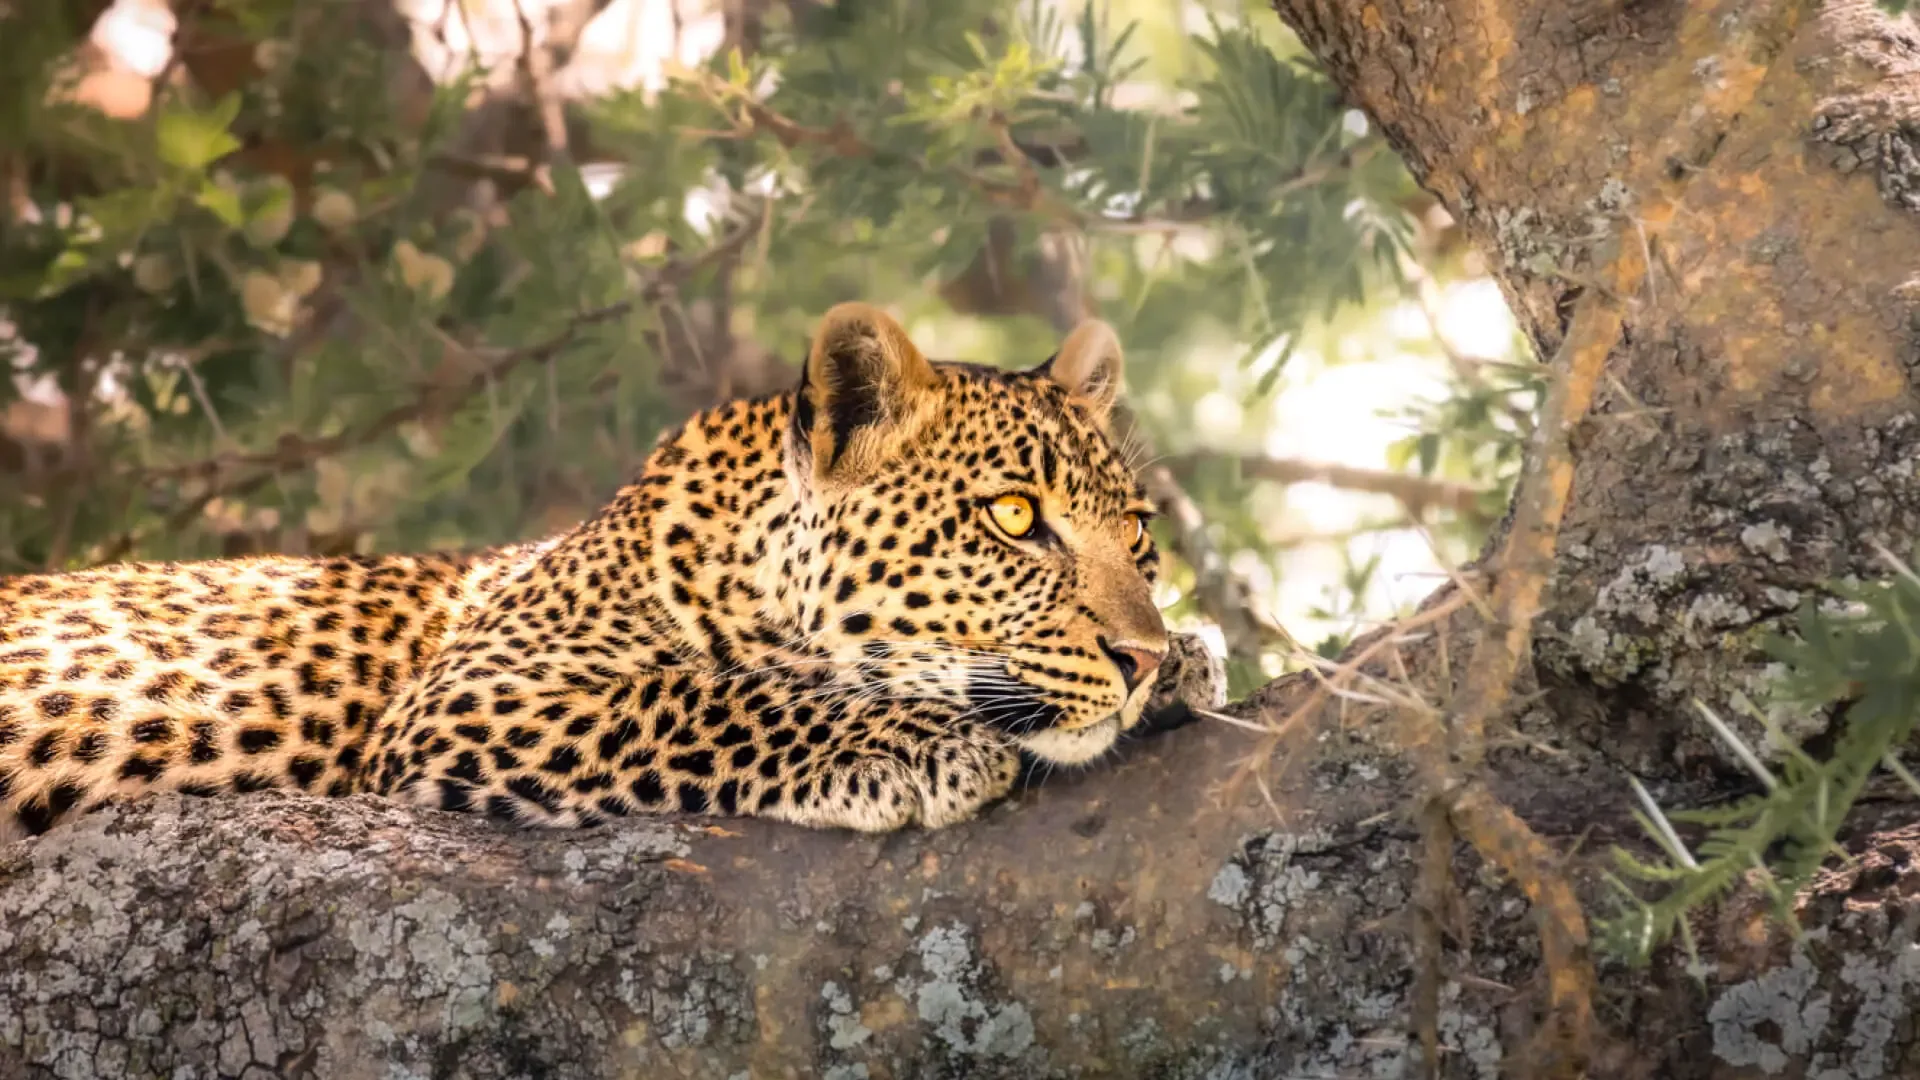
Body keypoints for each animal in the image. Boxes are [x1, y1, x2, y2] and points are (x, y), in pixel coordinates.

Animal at [0, 302, 1170, 840]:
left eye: (1138, 532)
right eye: (1014, 518)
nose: (1144, 658)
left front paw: (1190, 658)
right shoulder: (473, 697)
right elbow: (698, 696)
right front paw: (913, 742)